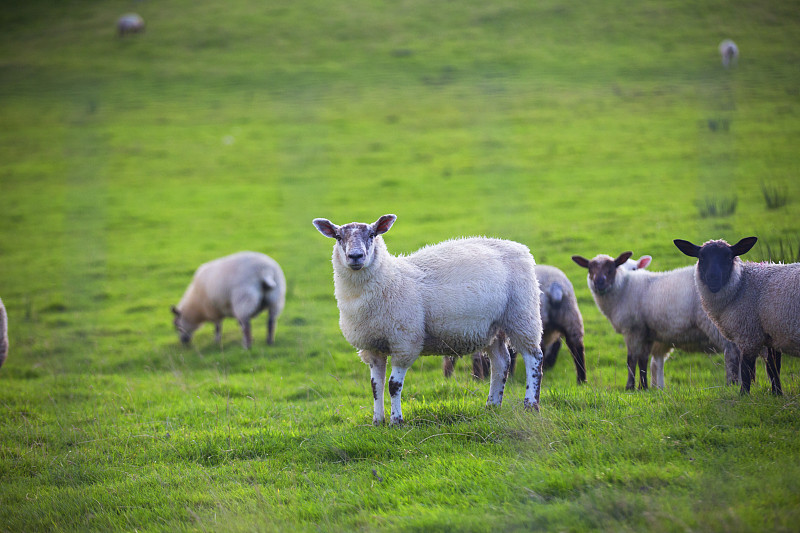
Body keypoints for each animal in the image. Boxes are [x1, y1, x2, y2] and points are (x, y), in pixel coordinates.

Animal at [312, 212, 544, 424]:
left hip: (522, 314)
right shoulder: (372, 346)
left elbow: (393, 385)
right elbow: (376, 386)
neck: (390, 280)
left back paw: (531, 406)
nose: (356, 256)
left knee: (534, 357)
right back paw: (492, 406)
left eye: (372, 234)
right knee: (501, 363)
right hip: (491, 326)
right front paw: (377, 422)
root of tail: (519, 248)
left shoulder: (405, 341)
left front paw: (396, 421)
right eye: (338, 237)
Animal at [572, 249, 740, 390]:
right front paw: (643, 387)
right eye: (590, 269)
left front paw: (629, 387)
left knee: (731, 351)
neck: (624, 287)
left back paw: (731, 384)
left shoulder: (633, 329)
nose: (599, 282)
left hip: (716, 324)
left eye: (611, 268)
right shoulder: (647, 332)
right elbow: (643, 360)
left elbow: (631, 359)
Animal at [676, 237, 800, 394]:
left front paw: (743, 395)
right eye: (701, 257)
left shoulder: (749, 334)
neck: (742, 284)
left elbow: (746, 370)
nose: (713, 279)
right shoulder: (773, 335)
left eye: (728, 257)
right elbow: (773, 368)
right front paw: (777, 394)